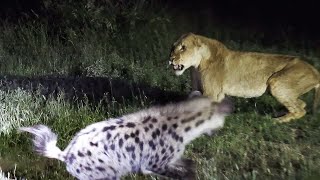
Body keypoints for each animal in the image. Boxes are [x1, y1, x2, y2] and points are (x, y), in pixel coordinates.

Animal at [169, 32, 320, 122]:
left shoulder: (212, 93)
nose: (170, 59)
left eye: (183, 48)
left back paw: (278, 120)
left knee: (301, 110)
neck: (196, 66)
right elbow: (190, 100)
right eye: (173, 47)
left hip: (276, 83)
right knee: (302, 104)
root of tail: (315, 70)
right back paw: (280, 114)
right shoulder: (200, 89)